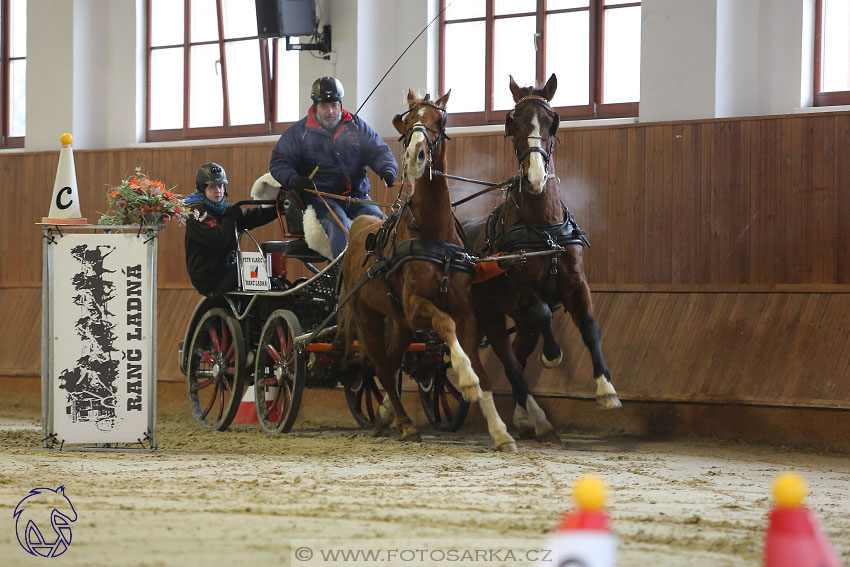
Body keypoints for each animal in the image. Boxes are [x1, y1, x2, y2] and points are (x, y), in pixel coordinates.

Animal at [340, 89, 516, 452]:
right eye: (408, 122)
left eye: (439, 120)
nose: (415, 155)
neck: (433, 234)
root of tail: (358, 231)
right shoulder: (417, 305)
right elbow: (445, 325)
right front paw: (465, 379)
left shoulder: (465, 311)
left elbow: (482, 370)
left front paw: (500, 432)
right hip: (369, 318)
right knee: (380, 366)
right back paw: (405, 424)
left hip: (401, 323)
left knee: (391, 363)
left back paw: (388, 417)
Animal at [460, 73, 620, 444]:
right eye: (513, 123)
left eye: (551, 121)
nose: (534, 177)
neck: (544, 229)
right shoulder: (522, 293)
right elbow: (545, 312)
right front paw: (552, 355)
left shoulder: (576, 283)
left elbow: (590, 327)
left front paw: (606, 390)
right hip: (488, 315)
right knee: (508, 358)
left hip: (512, 319)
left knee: (517, 355)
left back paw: (526, 415)